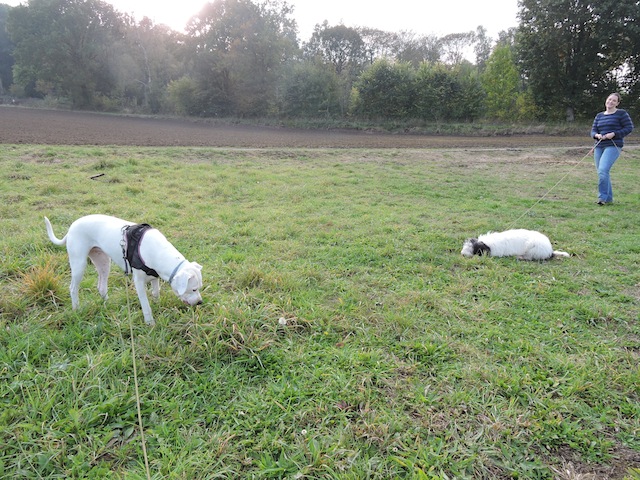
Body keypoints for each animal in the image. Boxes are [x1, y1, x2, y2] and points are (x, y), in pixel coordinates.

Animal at [45, 215, 202, 324]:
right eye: (194, 289)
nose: (200, 302)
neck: (159, 251)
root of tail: (72, 227)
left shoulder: (154, 276)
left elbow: (156, 293)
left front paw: (157, 305)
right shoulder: (139, 283)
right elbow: (146, 306)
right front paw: (150, 323)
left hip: (103, 262)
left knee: (102, 287)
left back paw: (107, 304)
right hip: (79, 264)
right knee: (73, 288)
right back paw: (76, 309)